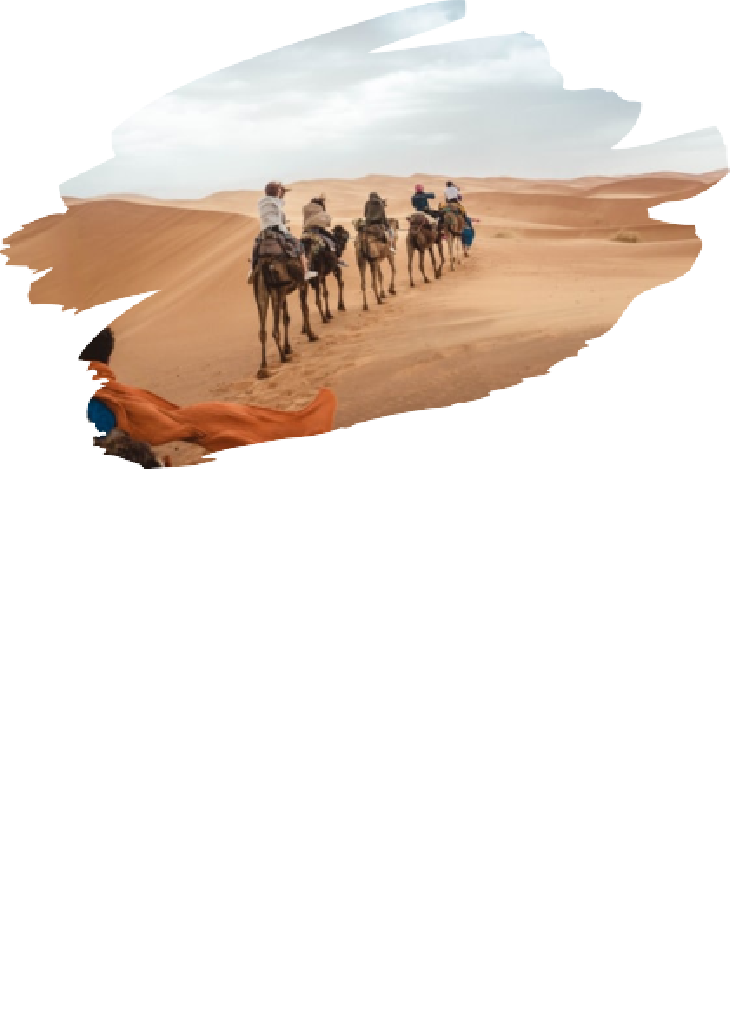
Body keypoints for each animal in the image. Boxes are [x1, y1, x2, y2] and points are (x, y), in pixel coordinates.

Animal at [252, 232, 318, 379]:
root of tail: (265, 263)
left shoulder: (285, 292)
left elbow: (286, 318)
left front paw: (288, 347)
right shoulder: (302, 284)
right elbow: (304, 307)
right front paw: (311, 336)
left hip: (261, 292)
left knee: (262, 330)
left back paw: (263, 367)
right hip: (277, 291)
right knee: (274, 329)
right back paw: (283, 357)